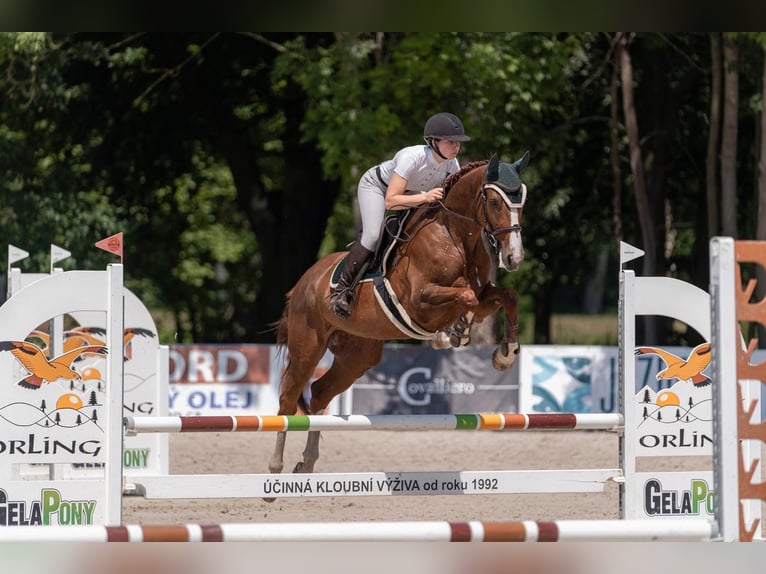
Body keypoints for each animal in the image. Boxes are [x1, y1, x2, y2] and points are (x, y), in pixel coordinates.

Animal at [272, 152, 536, 482]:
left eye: (521, 202)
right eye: (496, 202)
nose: (514, 258)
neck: (454, 235)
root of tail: (302, 283)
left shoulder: (485, 290)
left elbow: (505, 297)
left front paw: (505, 354)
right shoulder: (419, 301)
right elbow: (466, 297)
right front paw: (452, 334)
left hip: (358, 355)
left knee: (319, 393)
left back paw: (306, 463)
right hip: (307, 348)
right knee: (287, 399)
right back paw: (276, 467)